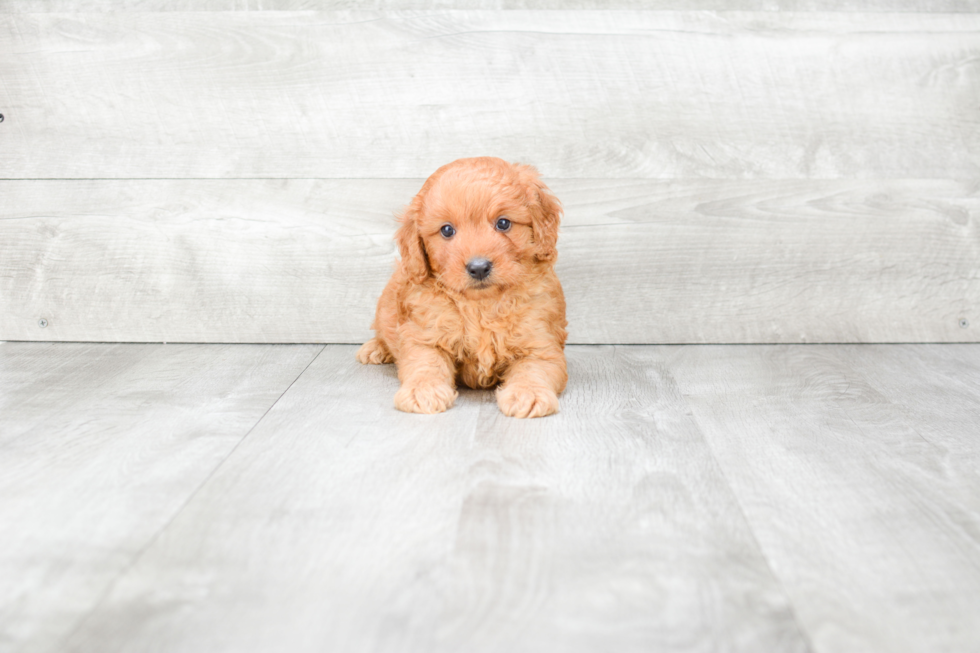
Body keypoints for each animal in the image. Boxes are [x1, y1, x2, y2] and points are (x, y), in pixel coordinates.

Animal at [354, 155, 568, 416]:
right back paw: (375, 348)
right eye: (447, 230)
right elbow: (426, 363)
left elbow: (533, 369)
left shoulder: (540, 344)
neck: (481, 305)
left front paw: (529, 393)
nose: (479, 267)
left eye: (503, 223)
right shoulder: (424, 336)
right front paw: (423, 391)